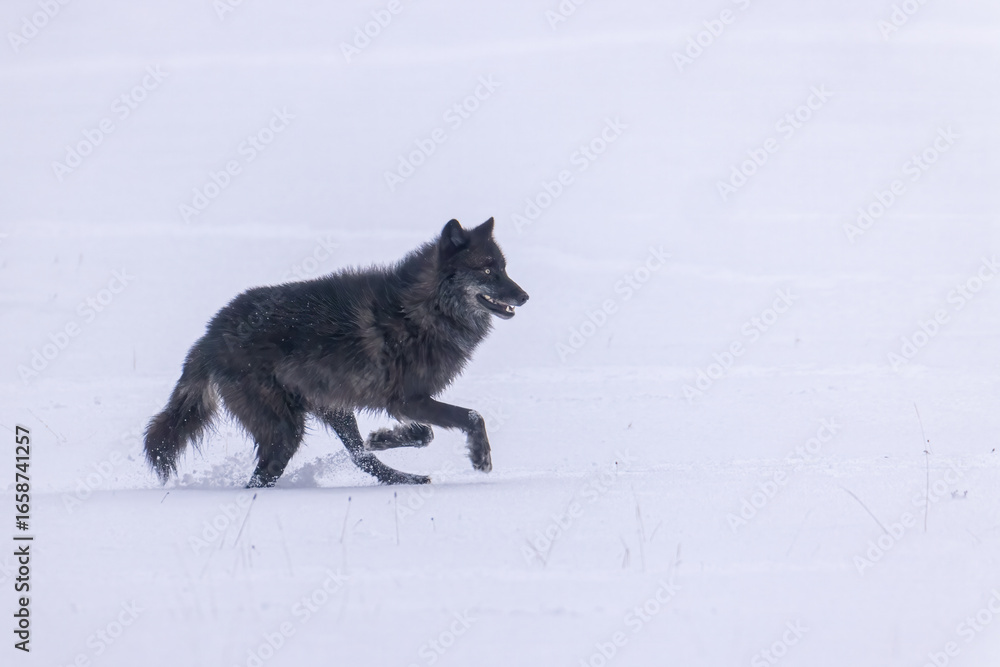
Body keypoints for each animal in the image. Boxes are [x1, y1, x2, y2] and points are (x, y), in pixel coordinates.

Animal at [144, 217, 528, 488]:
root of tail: (210, 334)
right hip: (288, 430)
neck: (426, 307)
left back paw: (405, 466)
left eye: (504, 268)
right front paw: (480, 456)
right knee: (262, 478)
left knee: (359, 454)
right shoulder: (407, 400)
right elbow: (473, 416)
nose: (524, 296)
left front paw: (392, 437)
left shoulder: (402, 404)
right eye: (488, 270)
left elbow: (425, 433)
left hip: (333, 410)